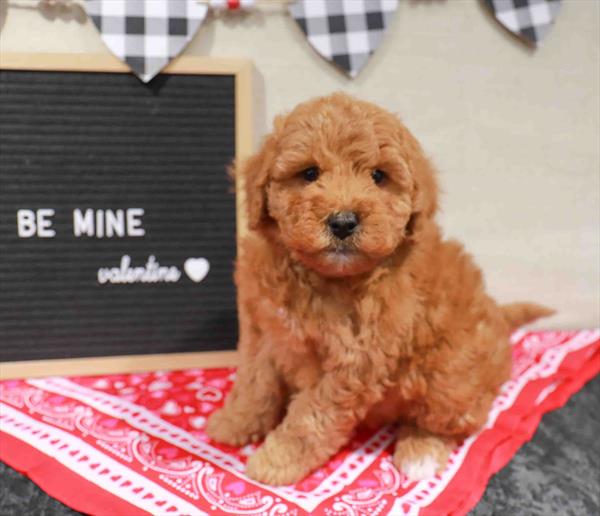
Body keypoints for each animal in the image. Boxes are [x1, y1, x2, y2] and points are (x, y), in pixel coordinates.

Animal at [206, 91, 552, 484]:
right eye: (309, 173)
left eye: (378, 176)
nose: (343, 222)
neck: (321, 277)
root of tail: (498, 318)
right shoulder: (263, 333)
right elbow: (254, 383)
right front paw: (234, 421)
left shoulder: (354, 363)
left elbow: (311, 417)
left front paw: (276, 460)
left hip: (449, 375)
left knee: (453, 419)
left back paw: (422, 450)